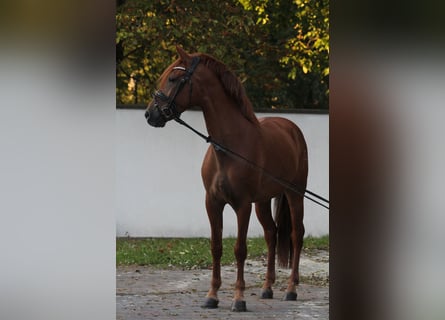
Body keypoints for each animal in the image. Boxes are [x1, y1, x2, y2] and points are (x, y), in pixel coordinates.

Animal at [144, 47, 306, 312]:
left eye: (174, 79)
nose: (151, 114)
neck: (229, 146)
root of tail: (292, 128)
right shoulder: (212, 203)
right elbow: (216, 247)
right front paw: (212, 296)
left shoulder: (242, 205)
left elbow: (239, 249)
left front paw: (238, 299)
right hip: (263, 202)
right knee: (271, 234)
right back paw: (267, 288)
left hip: (295, 194)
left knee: (296, 234)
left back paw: (291, 290)